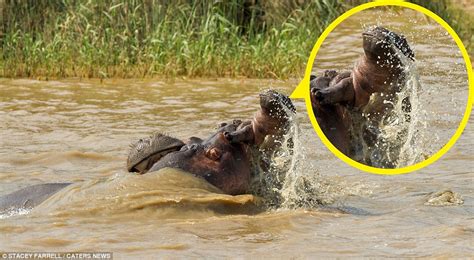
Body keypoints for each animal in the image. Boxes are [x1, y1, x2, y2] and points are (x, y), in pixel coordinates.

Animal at [310, 25, 412, 165]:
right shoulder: (353, 83)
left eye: (401, 38)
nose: (381, 27)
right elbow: (341, 86)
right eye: (328, 72)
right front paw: (318, 93)